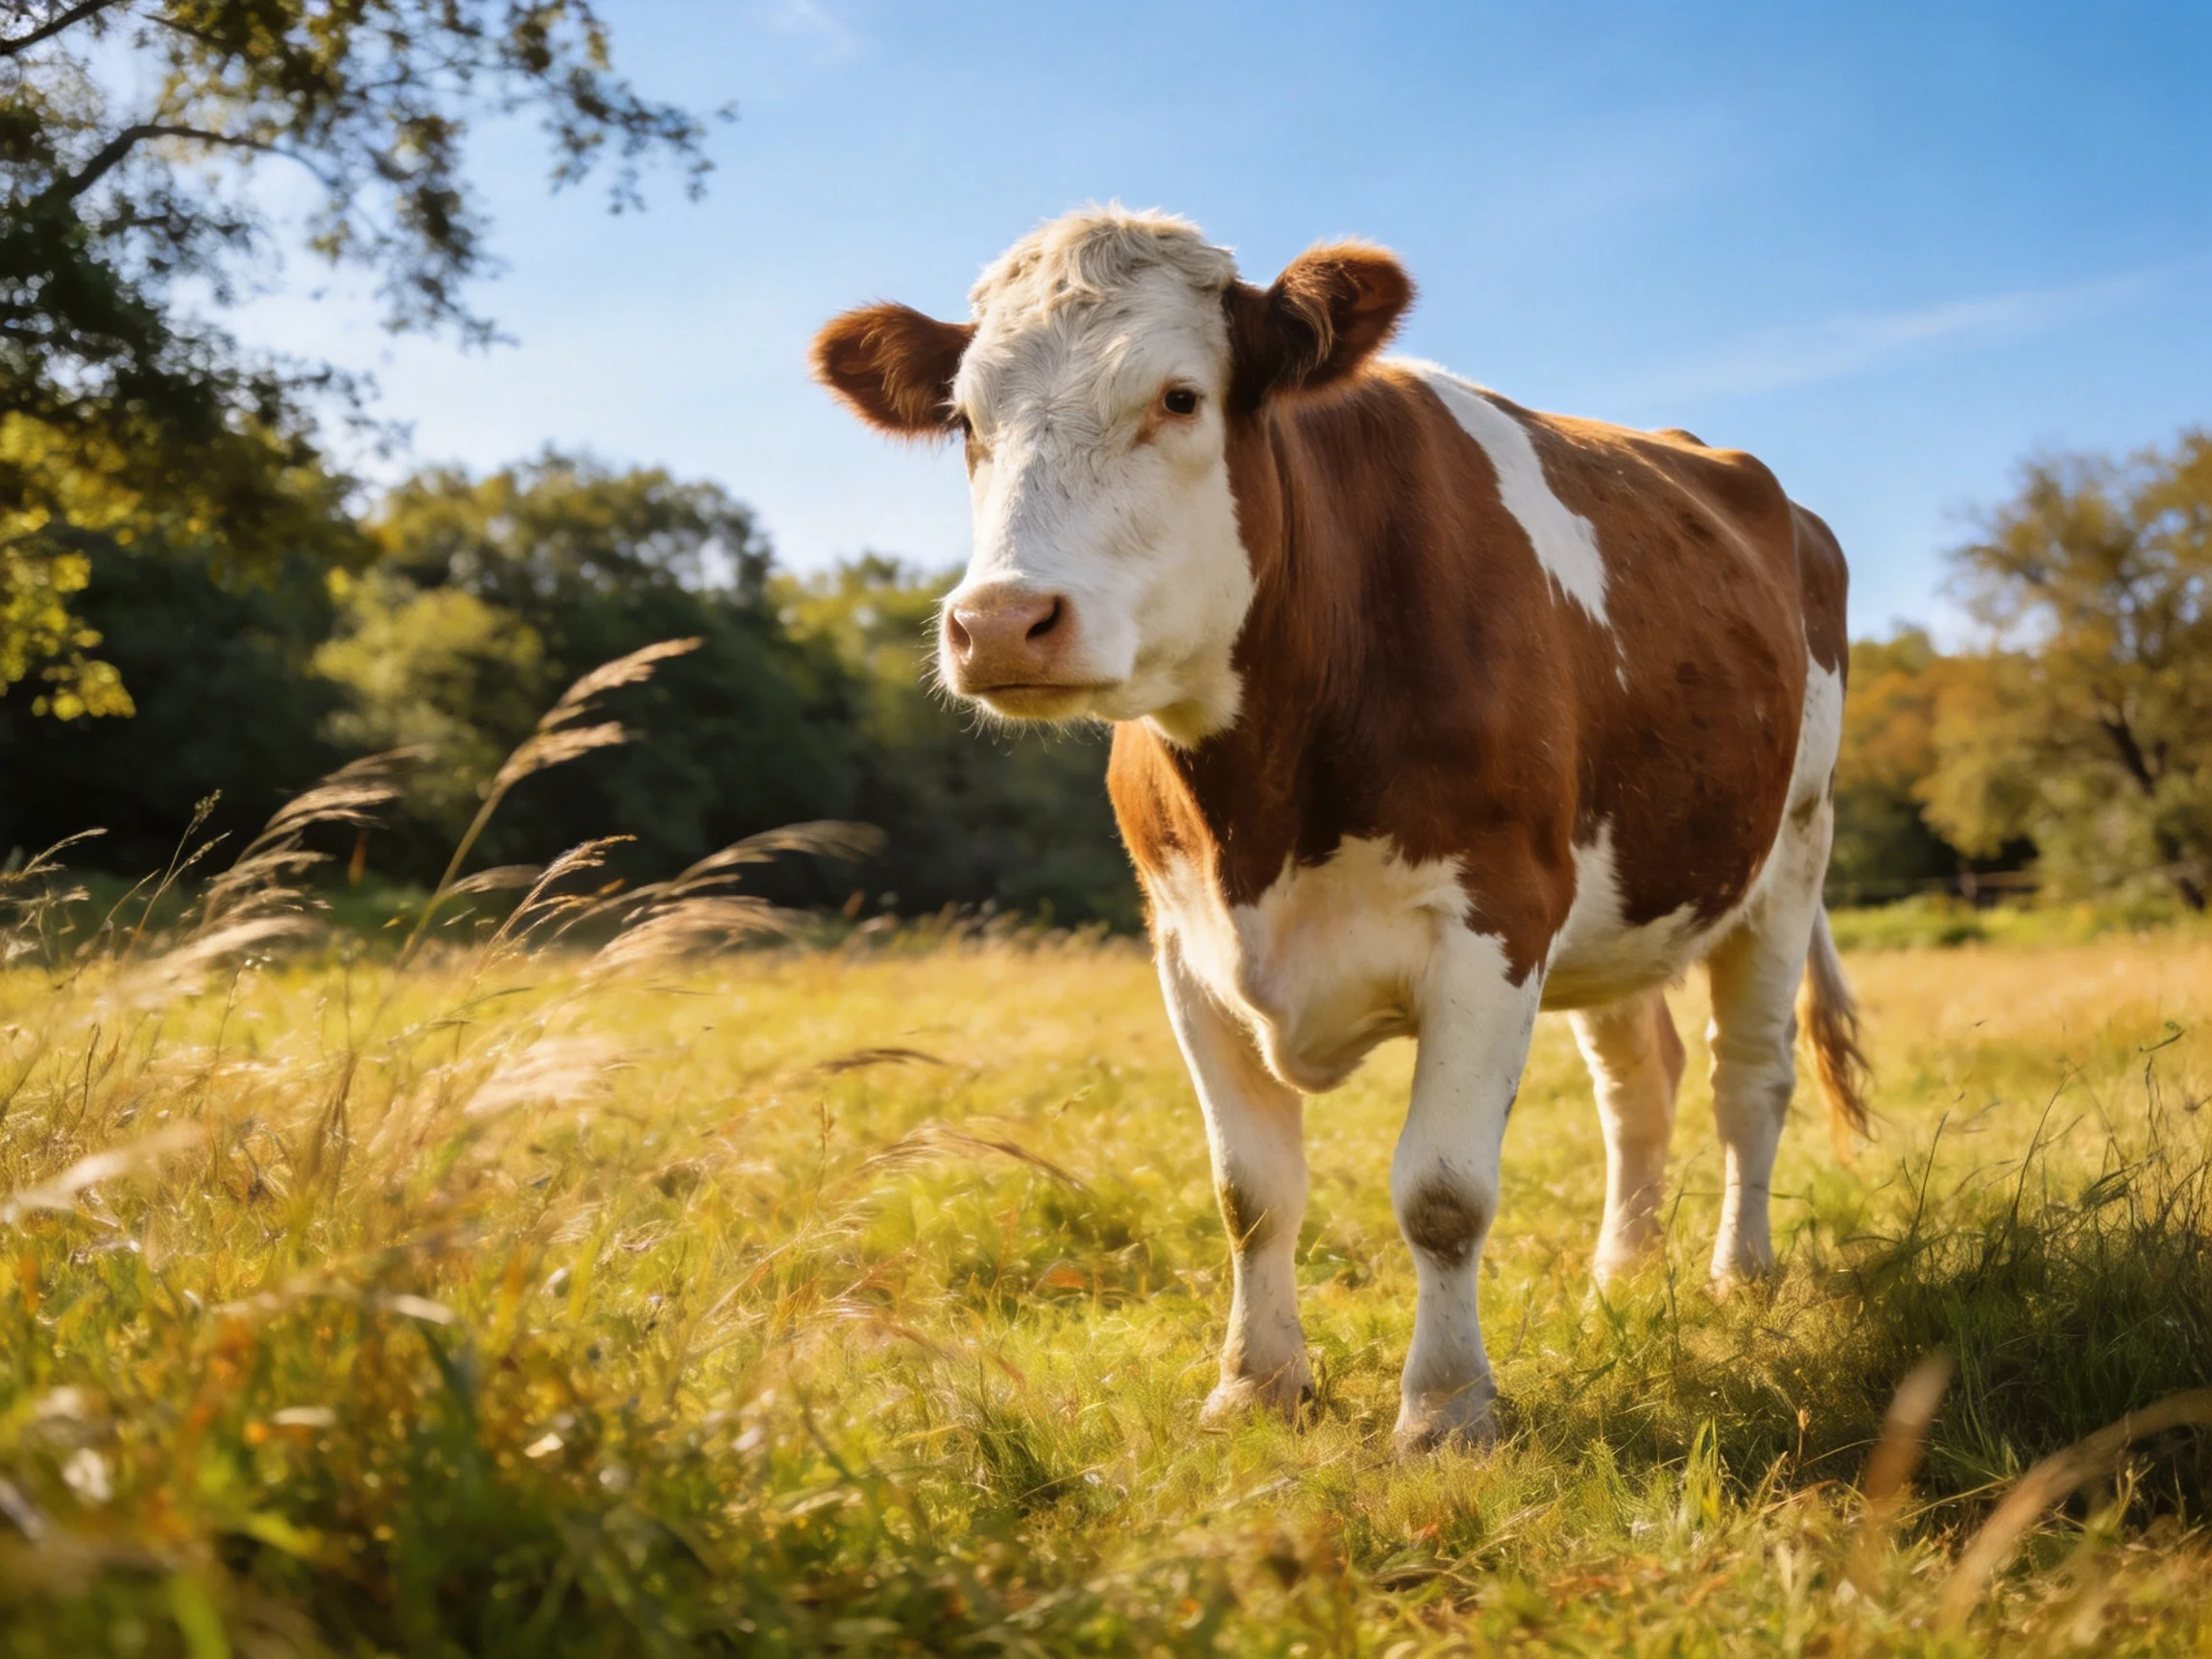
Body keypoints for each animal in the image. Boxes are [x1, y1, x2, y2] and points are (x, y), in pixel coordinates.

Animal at [811, 206, 1869, 1455]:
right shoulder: (1183, 946)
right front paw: (1255, 1384)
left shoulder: (1497, 918)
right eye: (967, 421)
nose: (1001, 622)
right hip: (1626, 897)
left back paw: (1739, 1278)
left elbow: (1444, 1193)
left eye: (1179, 397)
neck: (1261, 811)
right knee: (1638, 1083)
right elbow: (1251, 1192)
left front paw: (1447, 1412)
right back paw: (1621, 1274)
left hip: (1789, 850)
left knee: (1747, 1077)